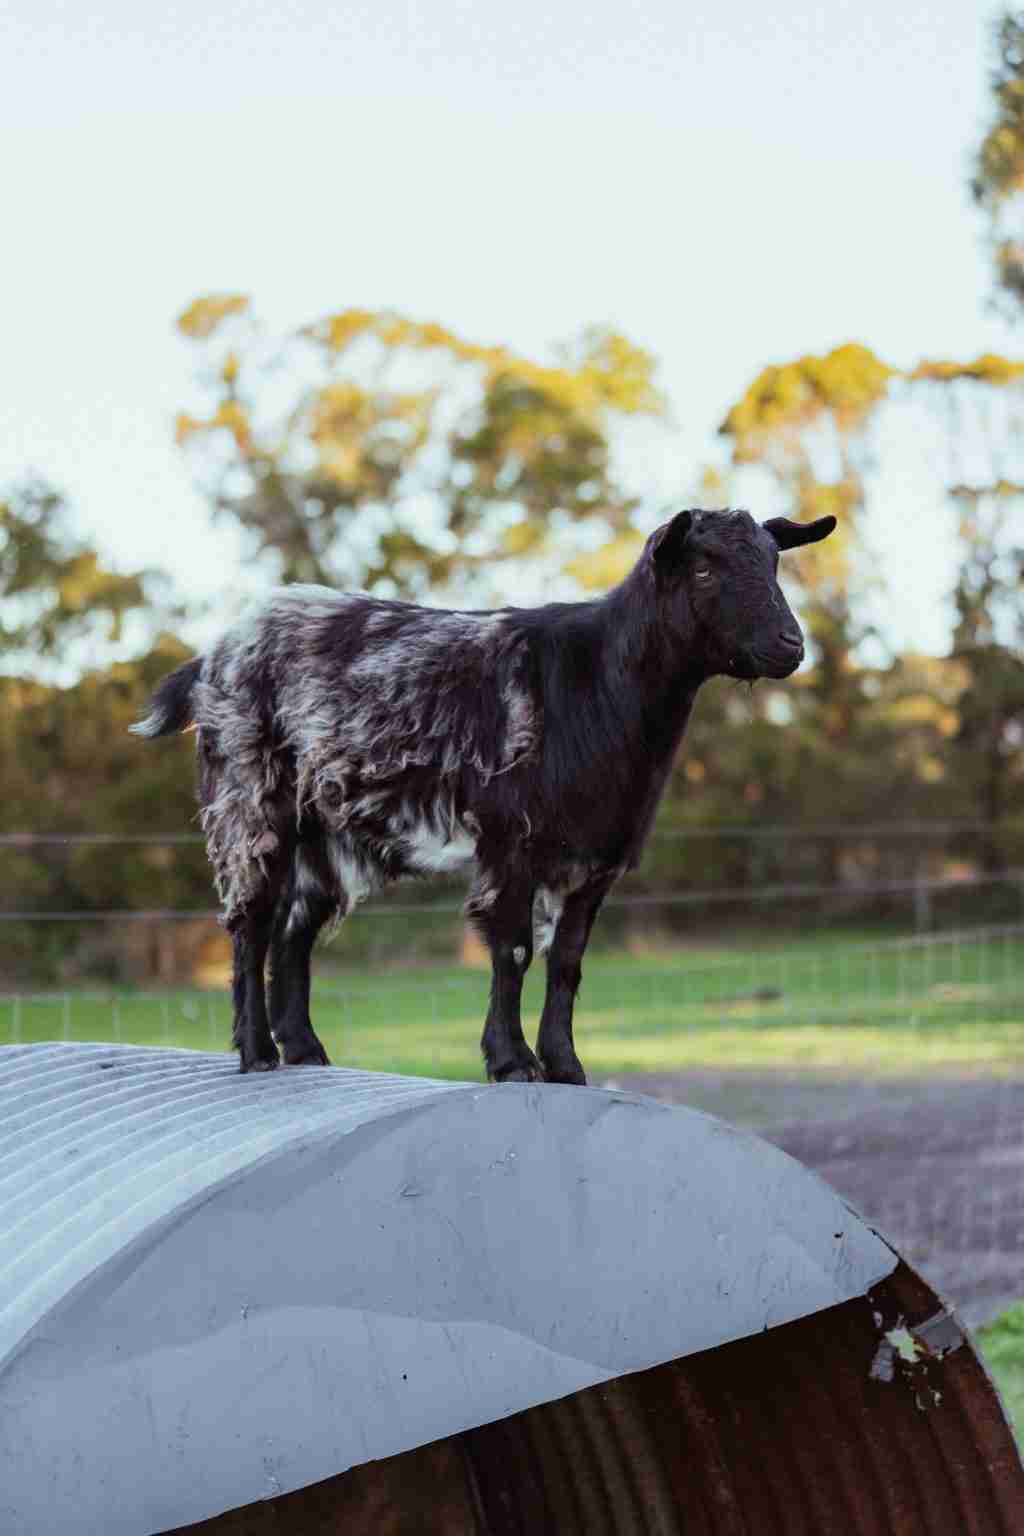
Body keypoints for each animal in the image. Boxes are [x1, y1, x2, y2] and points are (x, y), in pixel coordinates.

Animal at [132, 508, 836, 1081]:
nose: (790, 645)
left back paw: (306, 1050)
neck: (597, 684)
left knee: (294, 932)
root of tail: (210, 658)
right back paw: (257, 1053)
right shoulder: (511, 840)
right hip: (249, 805)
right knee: (250, 924)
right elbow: (514, 952)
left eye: (774, 562)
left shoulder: (595, 858)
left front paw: (566, 1066)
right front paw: (512, 1061)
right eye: (704, 570)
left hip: (324, 833)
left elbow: (568, 964)